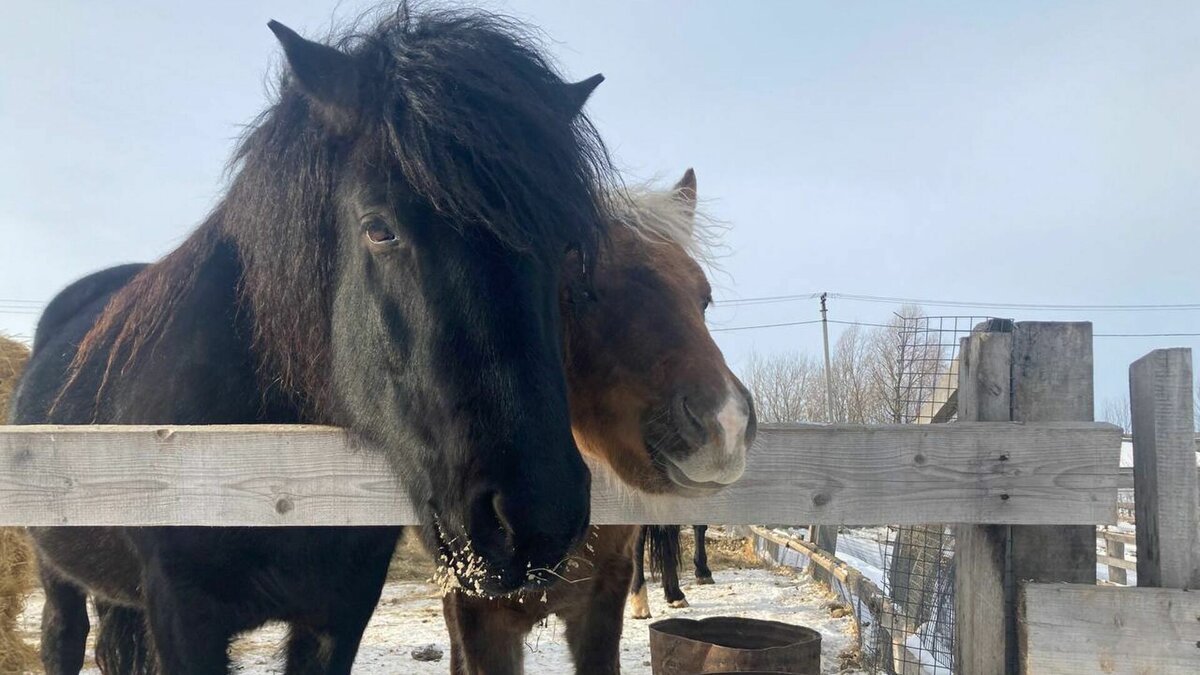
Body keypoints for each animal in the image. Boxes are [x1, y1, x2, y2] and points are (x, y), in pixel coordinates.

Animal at [14, 6, 619, 672]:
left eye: (566, 246)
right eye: (379, 228)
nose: (536, 518)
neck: (270, 472)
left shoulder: (340, 613)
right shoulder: (181, 614)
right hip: (57, 578)